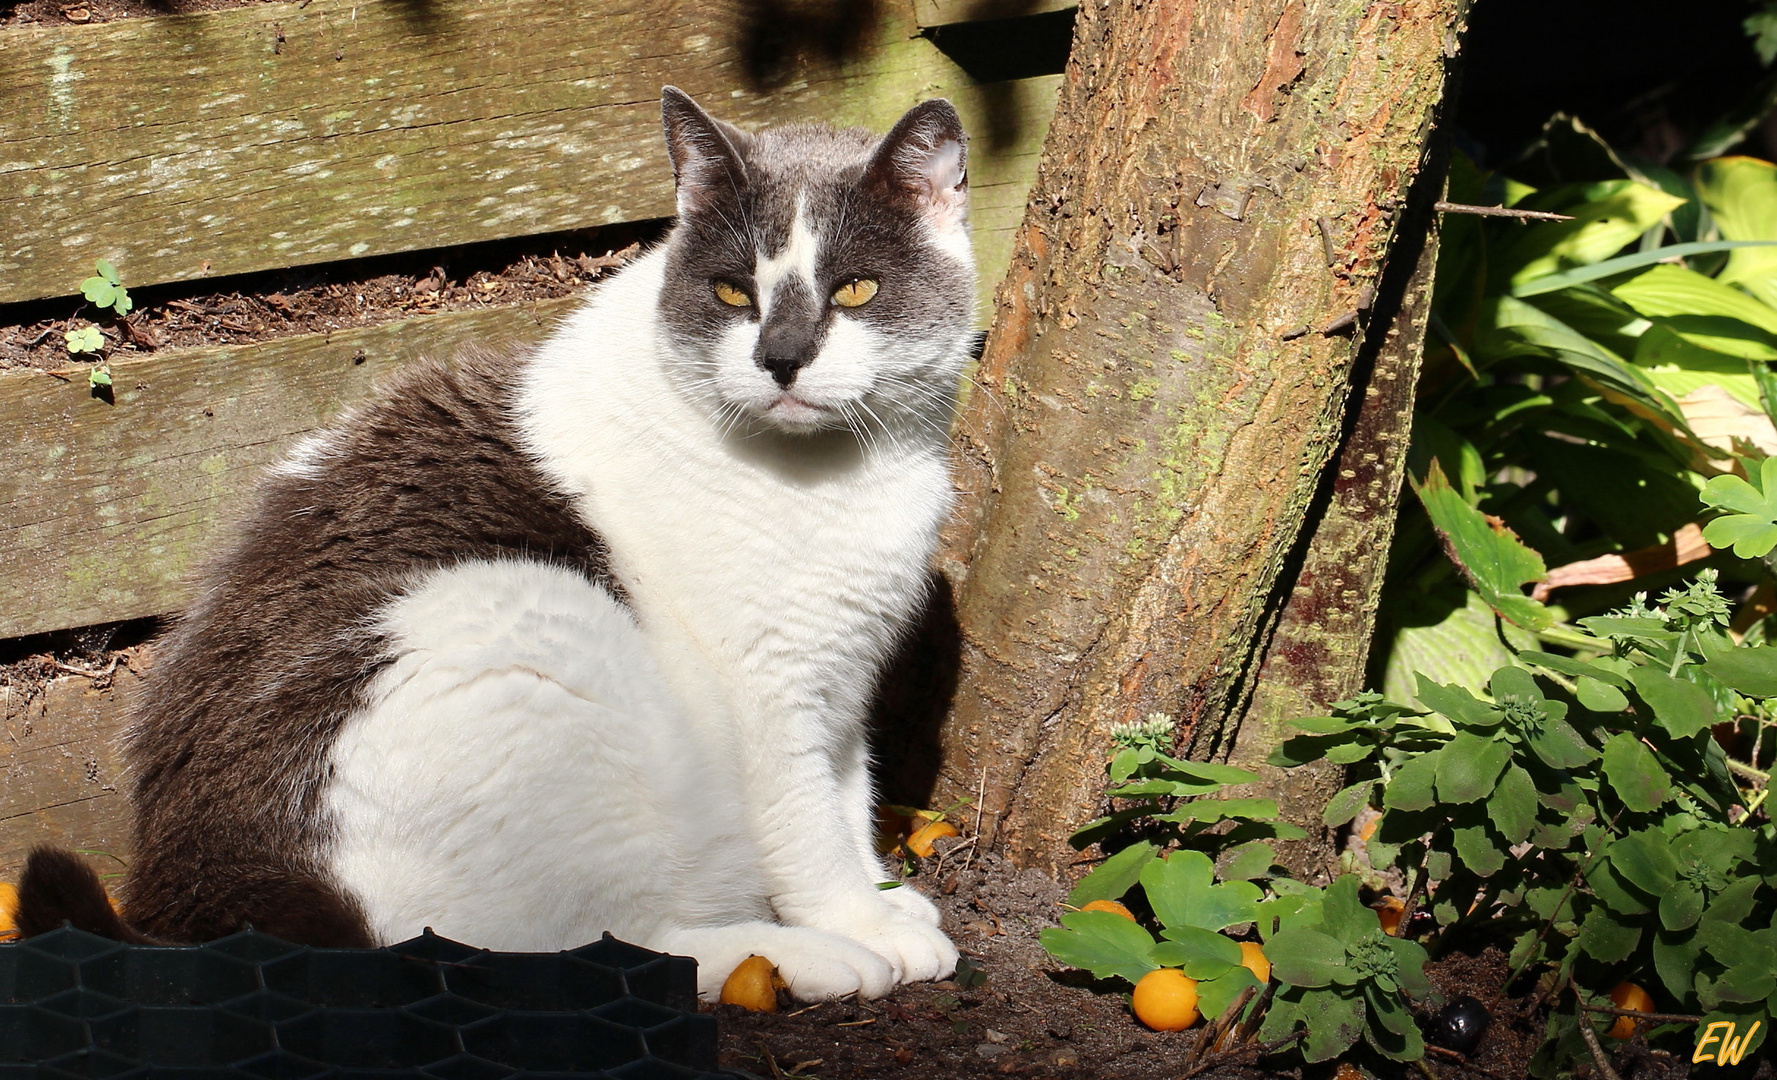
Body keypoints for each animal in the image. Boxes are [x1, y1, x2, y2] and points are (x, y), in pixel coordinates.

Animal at [13, 86, 973, 1001]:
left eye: (855, 291)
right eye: (735, 292)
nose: (780, 358)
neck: (857, 470)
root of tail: (217, 894)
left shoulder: (842, 676)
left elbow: (849, 794)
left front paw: (881, 896)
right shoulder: (769, 689)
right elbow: (805, 826)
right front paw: (857, 924)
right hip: (539, 624)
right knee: (579, 949)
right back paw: (793, 958)